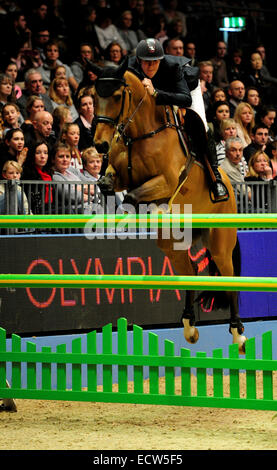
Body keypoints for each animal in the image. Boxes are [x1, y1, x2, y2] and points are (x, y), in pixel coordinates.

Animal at [88, 57, 246, 352]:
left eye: (116, 96)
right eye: (93, 96)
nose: (101, 144)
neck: (140, 133)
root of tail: (232, 189)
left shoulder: (168, 181)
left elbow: (133, 197)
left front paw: (141, 212)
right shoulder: (119, 176)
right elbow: (111, 183)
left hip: (220, 242)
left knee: (228, 278)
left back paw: (238, 334)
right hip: (172, 245)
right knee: (191, 272)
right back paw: (189, 326)